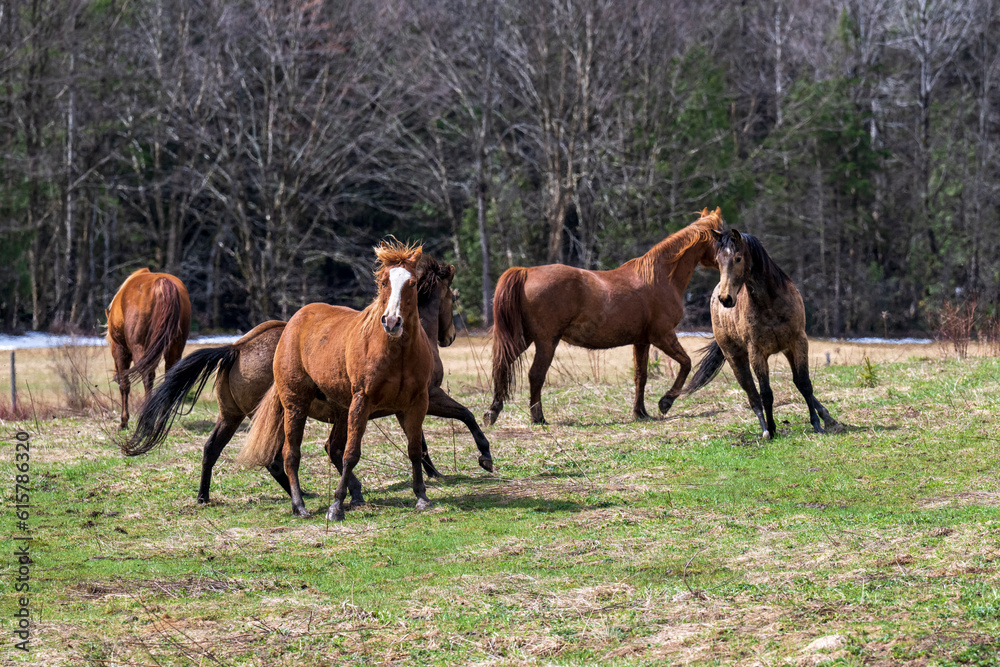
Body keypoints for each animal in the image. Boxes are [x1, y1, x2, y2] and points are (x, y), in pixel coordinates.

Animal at [106, 268, 191, 429]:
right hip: (175, 347)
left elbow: (125, 385)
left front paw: (123, 421)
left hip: (140, 348)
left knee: (147, 377)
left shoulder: (120, 350)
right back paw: (161, 421)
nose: (114, 375)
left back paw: (147, 421)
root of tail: (162, 284)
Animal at [121, 256, 493, 504]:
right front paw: (478, 458)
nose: (449, 335)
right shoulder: (428, 395)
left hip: (233, 415)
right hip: (277, 413)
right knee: (278, 457)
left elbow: (418, 438)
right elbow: (464, 416)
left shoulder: (403, 403)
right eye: (452, 297)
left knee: (214, 448)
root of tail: (237, 347)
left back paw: (205, 496)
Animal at [236, 240, 435, 521]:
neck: (398, 353)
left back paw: (355, 495)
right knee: (291, 454)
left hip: (341, 410)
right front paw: (336, 506)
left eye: (413, 283)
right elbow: (351, 454)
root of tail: (292, 323)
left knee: (332, 447)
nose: (392, 321)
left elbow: (415, 450)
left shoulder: (416, 403)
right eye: (384, 282)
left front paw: (421, 496)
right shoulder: (362, 402)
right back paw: (299, 505)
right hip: (295, 405)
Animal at [484, 208, 723, 426]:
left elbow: (641, 376)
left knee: (502, 365)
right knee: (535, 375)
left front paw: (640, 412)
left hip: (524, 338)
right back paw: (538, 417)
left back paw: (493, 412)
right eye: (722, 235)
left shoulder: (642, 341)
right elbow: (686, 363)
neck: (659, 277)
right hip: (546, 342)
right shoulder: (663, 336)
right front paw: (665, 402)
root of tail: (526, 271)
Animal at [683, 228, 839, 439]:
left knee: (797, 382)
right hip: (735, 358)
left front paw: (817, 424)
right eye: (718, 260)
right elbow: (766, 393)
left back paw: (827, 418)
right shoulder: (757, 352)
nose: (726, 298)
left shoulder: (798, 341)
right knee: (752, 392)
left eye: (738, 258)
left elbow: (805, 383)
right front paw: (772, 429)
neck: (770, 303)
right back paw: (765, 429)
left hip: (787, 349)